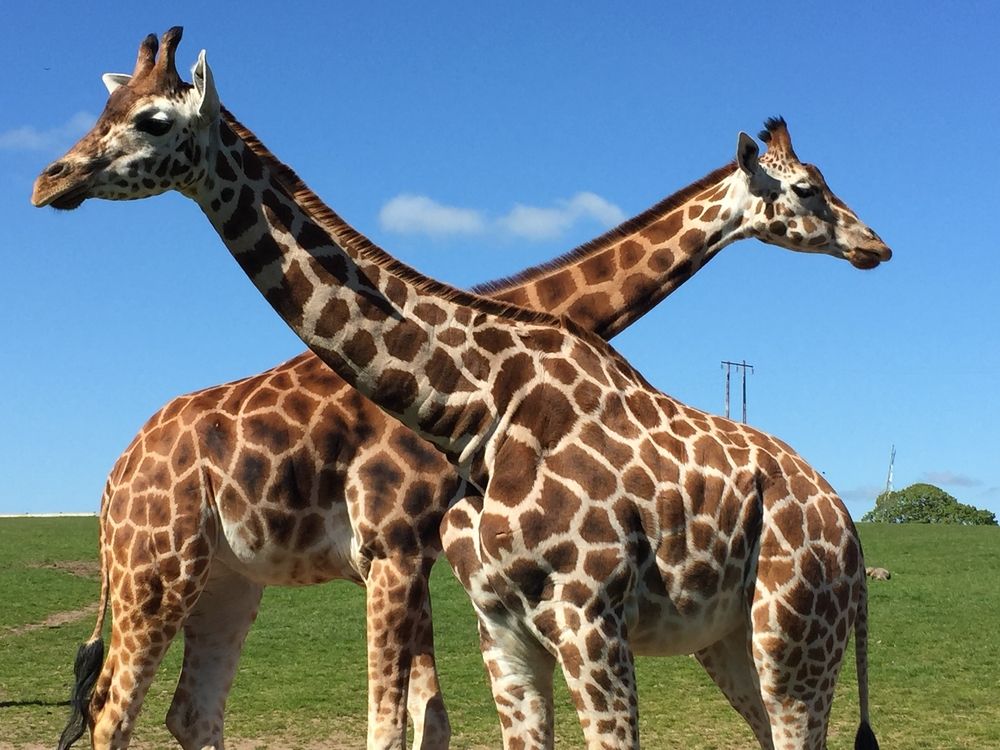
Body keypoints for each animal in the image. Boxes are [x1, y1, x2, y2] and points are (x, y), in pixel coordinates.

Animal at [32, 28, 891, 750]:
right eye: (810, 189)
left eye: (150, 119)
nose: (49, 179)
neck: (477, 405)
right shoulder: (439, 581)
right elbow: (413, 725)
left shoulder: (483, 585)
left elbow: (418, 724)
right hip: (166, 567)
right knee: (124, 711)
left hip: (779, 632)